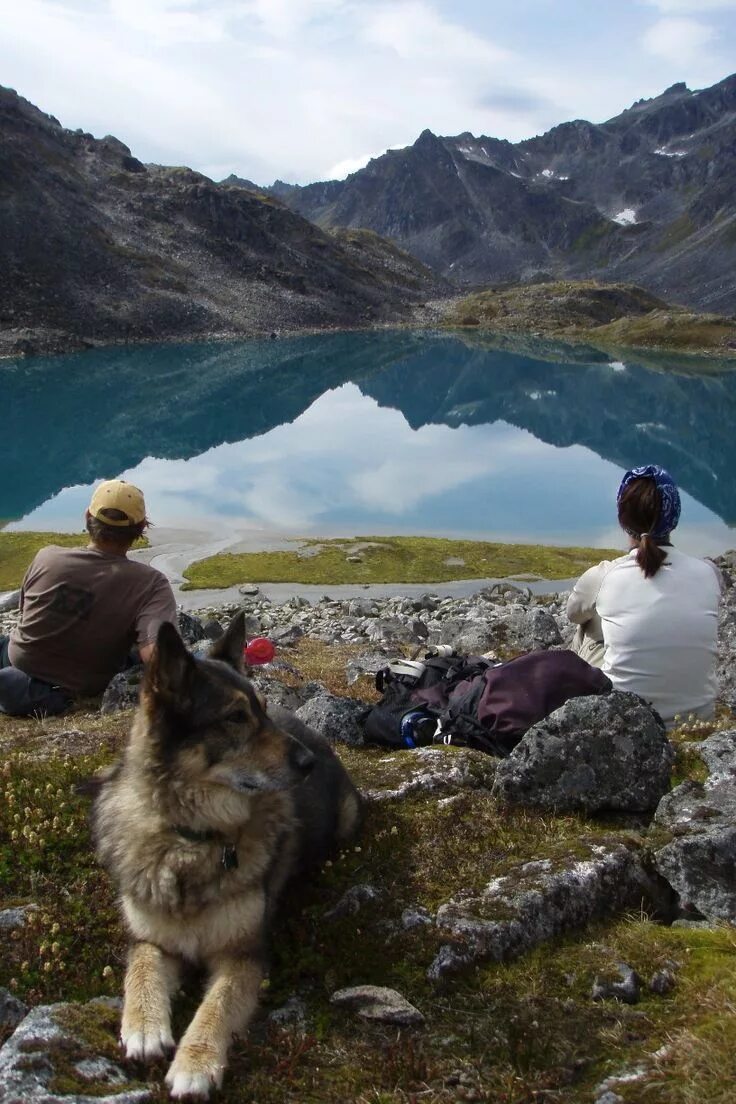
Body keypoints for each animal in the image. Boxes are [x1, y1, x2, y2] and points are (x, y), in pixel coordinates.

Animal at [93, 613, 364, 1095]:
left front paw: (194, 1064)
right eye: (235, 717)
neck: (192, 839)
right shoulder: (149, 938)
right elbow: (139, 971)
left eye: (261, 707)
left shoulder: (245, 954)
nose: (307, 762)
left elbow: (216, 1006)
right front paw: (142, 1025)